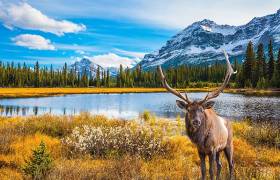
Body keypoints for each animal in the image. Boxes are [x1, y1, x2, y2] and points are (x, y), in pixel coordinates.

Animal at [159, 50, 235, 180]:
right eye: (188, 110)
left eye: (201, 109)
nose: (196, 121)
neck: (201, 140)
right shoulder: (200, 151)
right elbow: (203, 170)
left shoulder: (212, 149)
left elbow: (211, 171)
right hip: (220, 150)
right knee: (220, 165)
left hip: (228, 145)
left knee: (230, 164)